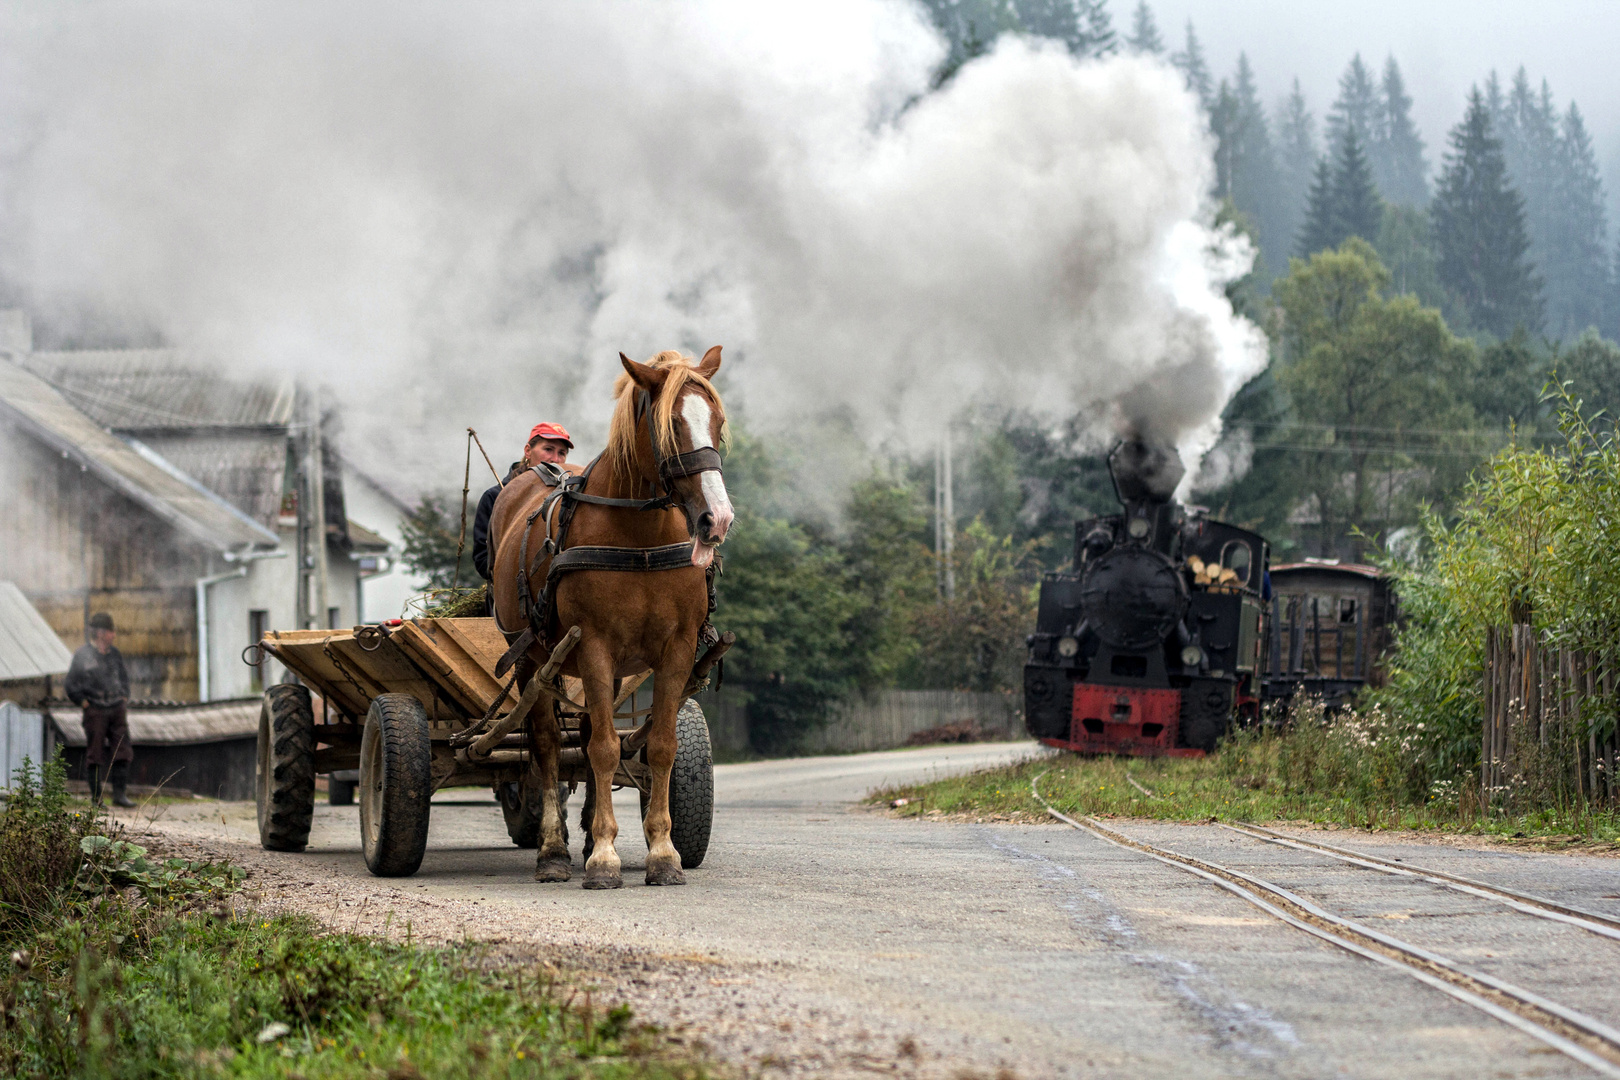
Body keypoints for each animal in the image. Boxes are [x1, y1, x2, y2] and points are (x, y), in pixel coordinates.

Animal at [482, 346, 732, 887]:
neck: (640, 539)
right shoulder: (593, 644)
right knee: (550, 746)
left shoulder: (676, 649)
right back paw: (554, 851)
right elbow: (601, 750)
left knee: (587, 735)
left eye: (717, 422)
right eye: (671, 425)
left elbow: (658, 746)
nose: (717, 519)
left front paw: (662, 853)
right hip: (533, 657)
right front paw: (603, 857)